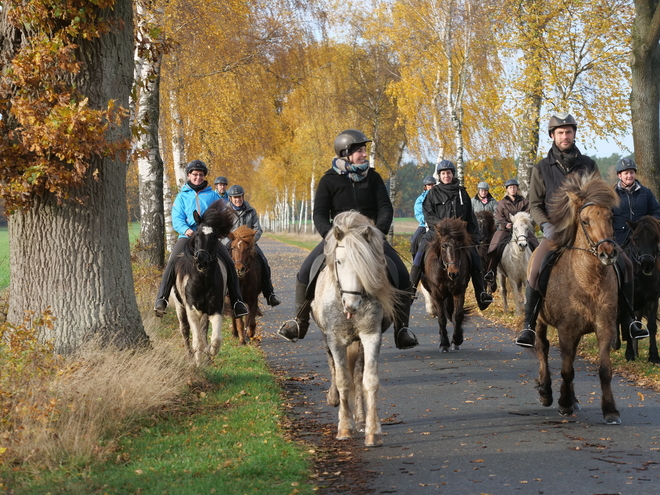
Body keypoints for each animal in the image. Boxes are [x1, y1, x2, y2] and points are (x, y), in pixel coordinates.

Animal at [173, 200, 235, 366]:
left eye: (214, 236)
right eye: (196, 234)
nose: (201, 262)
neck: (202, 280)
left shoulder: (215, 309)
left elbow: (215, 339)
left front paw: (209, 353)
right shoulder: (192, 310)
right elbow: (197, 342)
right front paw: (198, 362)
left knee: (203, 330)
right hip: (179, 306)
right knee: (185, 330)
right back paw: (190, 356)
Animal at [312, 211, 400, 448]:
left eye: (366, 264)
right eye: (339, 261)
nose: (351, 304)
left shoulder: (371, 336)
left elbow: (369, 380)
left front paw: (372, 431)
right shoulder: (334, 338)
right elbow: (343, 380)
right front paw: (344, 428)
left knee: (358, 374)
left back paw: (360, 418)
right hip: (325, 337)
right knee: (334, 366)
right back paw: (334, 399)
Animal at [420, 218, 472, 352]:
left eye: (459, 246)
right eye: (443, 245)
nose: (453, 273)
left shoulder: (459, 291)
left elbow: (458, 315)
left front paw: (457, 340)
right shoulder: (437, 294)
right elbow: (441, 318)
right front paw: (444, 343)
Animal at [532, 172, 624, 424]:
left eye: (610, 217)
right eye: (585, 221)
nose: (608, 253)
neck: (588, 280)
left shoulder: (604, 327)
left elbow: (604, 370)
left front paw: (610, 409)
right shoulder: (565, 329)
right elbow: (566, 369)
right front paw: (562, 403)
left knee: (569, 356)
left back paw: (572, 399)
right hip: (540, 321)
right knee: (542, 348)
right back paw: (546, 392)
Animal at [620, 217, 660, 364]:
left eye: (655, 238)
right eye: (636, 239)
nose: (647, 264)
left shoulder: (652, 298)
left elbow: (652, 325)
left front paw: (654, 356)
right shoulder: (628, 301)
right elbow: (628, 323)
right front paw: (629, 354)